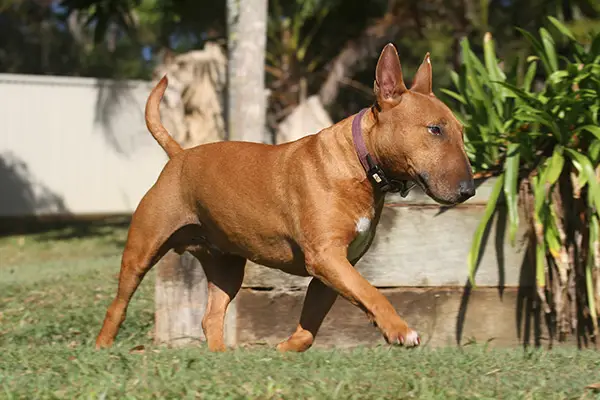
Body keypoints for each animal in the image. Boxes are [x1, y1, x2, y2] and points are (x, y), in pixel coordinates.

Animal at [96, 42, 476, 352]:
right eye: (434, 129)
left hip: (226, 267)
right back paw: (103, 347)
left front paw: (284, 348)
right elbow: (372, 293)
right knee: (119, 304)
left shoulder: (335, 269)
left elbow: (311, 328)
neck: (359, 162)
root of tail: (180, 155)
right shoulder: (326, 258)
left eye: (461, 132)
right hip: (142, 249)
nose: (469, 190)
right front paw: (399, 330)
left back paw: (221, 358)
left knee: (211, 316)